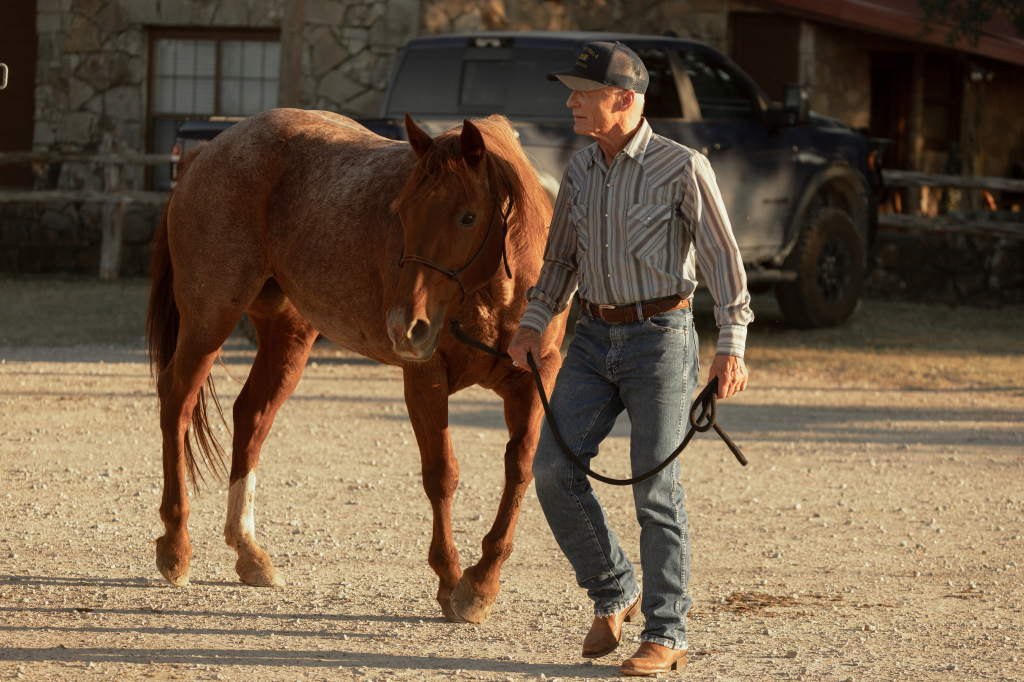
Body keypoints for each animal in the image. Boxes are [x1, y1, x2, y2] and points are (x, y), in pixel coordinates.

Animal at [145, 109, 567, 623]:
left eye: (468, 216)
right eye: (402, 212)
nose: (404, 326)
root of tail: (211, 149)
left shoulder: (534, 380)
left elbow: (520, 469)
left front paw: (483, 582)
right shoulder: (425, 378)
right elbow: (441, 474)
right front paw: (451, 580)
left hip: (288, 334)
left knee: (251, 415)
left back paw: (249, 551)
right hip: (209, 321)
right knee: (177, 404)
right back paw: (176, 546)